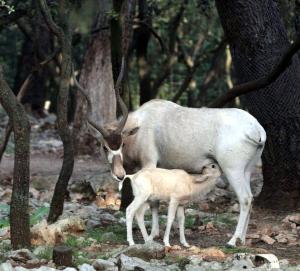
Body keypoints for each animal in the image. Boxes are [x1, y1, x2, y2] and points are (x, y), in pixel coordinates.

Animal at [75, 75, 264, 250]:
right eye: (104, 146)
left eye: (121, 144)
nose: (119, 174)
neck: (141, 123)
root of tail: (257, 129)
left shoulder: (149, 163)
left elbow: (154, 203)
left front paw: (152, 235)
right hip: (247, 170)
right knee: (251, 198)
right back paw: (243, 239)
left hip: (233, 169)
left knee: (245, 198)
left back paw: (232, 240)